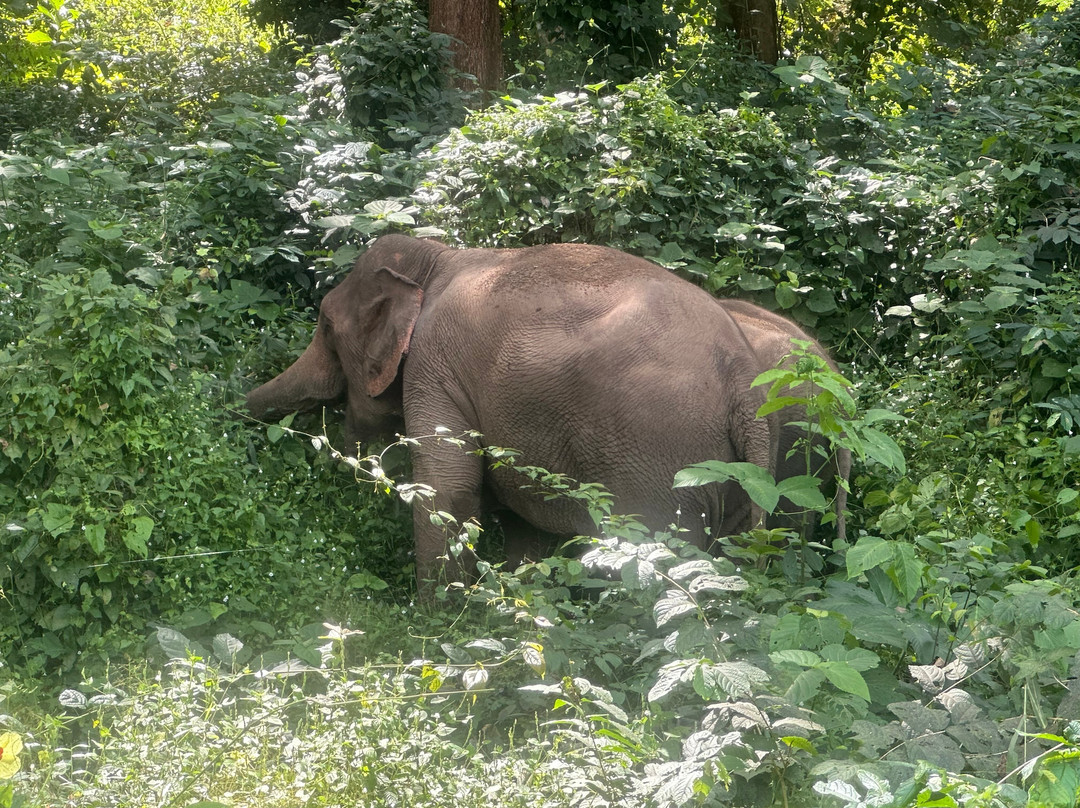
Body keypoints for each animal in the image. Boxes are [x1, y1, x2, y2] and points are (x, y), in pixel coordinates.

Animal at [247, 235, 838, 593]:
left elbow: (448, 487)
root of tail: (740, 371)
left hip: (658, 463)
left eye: (326, 326)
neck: (437, 258)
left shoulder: (435, 366)